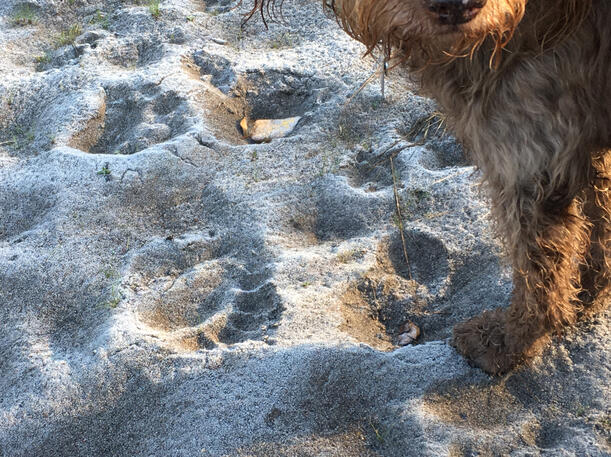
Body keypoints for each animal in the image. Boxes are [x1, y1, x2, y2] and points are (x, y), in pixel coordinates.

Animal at [245, 0, 611, 374]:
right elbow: (598, 225)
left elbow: (539, 269)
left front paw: (506, 341)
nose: (458, 7)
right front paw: (585, 293)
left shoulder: (526, 145)